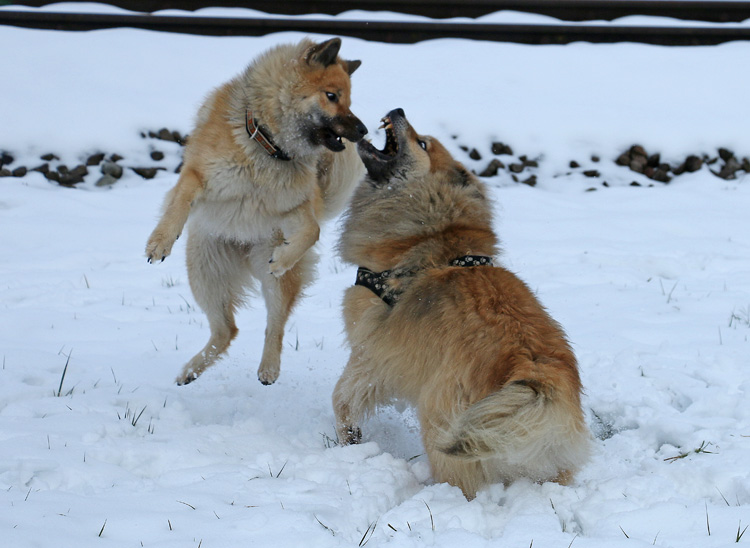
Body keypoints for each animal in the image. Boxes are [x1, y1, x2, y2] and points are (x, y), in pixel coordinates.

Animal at [146, 37, 368, 386]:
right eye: (332, 96)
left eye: (349, 99)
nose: (362, 130)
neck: (266, 145)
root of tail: (242, 251)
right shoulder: (197, 176)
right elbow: (180, 202)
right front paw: (161, 241)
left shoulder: (289, 207)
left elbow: (313, 230)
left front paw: (285, 256)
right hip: (205, 271)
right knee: (226, 330)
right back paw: (191, 370)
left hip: (266, 281)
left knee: (272, 325)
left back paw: (268, 367)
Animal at [332, 109, 592, 498]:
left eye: (423, 143)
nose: (398, 111)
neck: (431, 237)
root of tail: (539, 379)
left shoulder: (373, 351)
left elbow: (344, 397)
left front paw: (347, 440)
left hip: (440, 416)